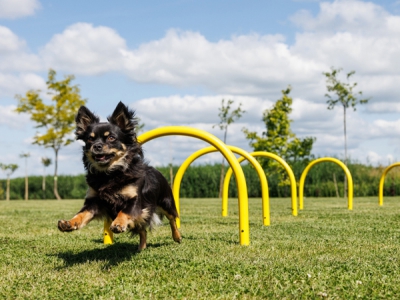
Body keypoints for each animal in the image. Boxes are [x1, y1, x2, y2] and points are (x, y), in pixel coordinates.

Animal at [57, 102, 182, 250]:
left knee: (172, 219)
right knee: (143, 230)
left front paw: (118, 223)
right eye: (90, 139)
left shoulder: (135, 200)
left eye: (111, 138)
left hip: (166, 202)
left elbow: (125, 211)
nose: (96, 146)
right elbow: (81, 214)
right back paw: (141, 248)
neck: (110, 174)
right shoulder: (94, 201)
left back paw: (177, 237)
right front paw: (69, 223)